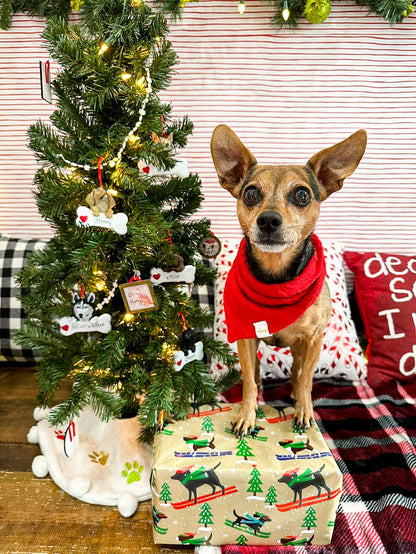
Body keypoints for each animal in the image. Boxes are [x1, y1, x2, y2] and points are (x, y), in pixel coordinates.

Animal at [211, 125, 368, 436]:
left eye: (302, 195)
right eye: (250, 194)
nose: (268, 220)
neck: (277, 279)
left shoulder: (314, 338)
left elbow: (306, 379)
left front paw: (304, 411)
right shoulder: (246, 339)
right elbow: (248, 383)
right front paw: (246, 415)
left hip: (300, 347)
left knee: (297, 373)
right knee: (257, 375)